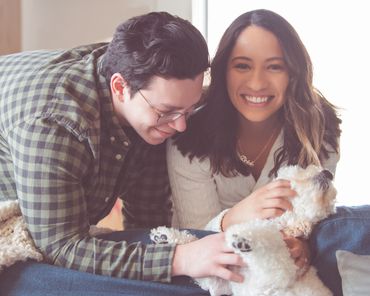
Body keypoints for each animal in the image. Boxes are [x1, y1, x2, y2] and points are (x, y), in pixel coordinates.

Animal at [151, 165, 338, 294]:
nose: (328, 173)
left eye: (329, 201)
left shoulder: (277, 273)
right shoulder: (222, 282)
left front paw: (245, 238)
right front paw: (167, 236)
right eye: (302, 168)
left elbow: (272, 250)